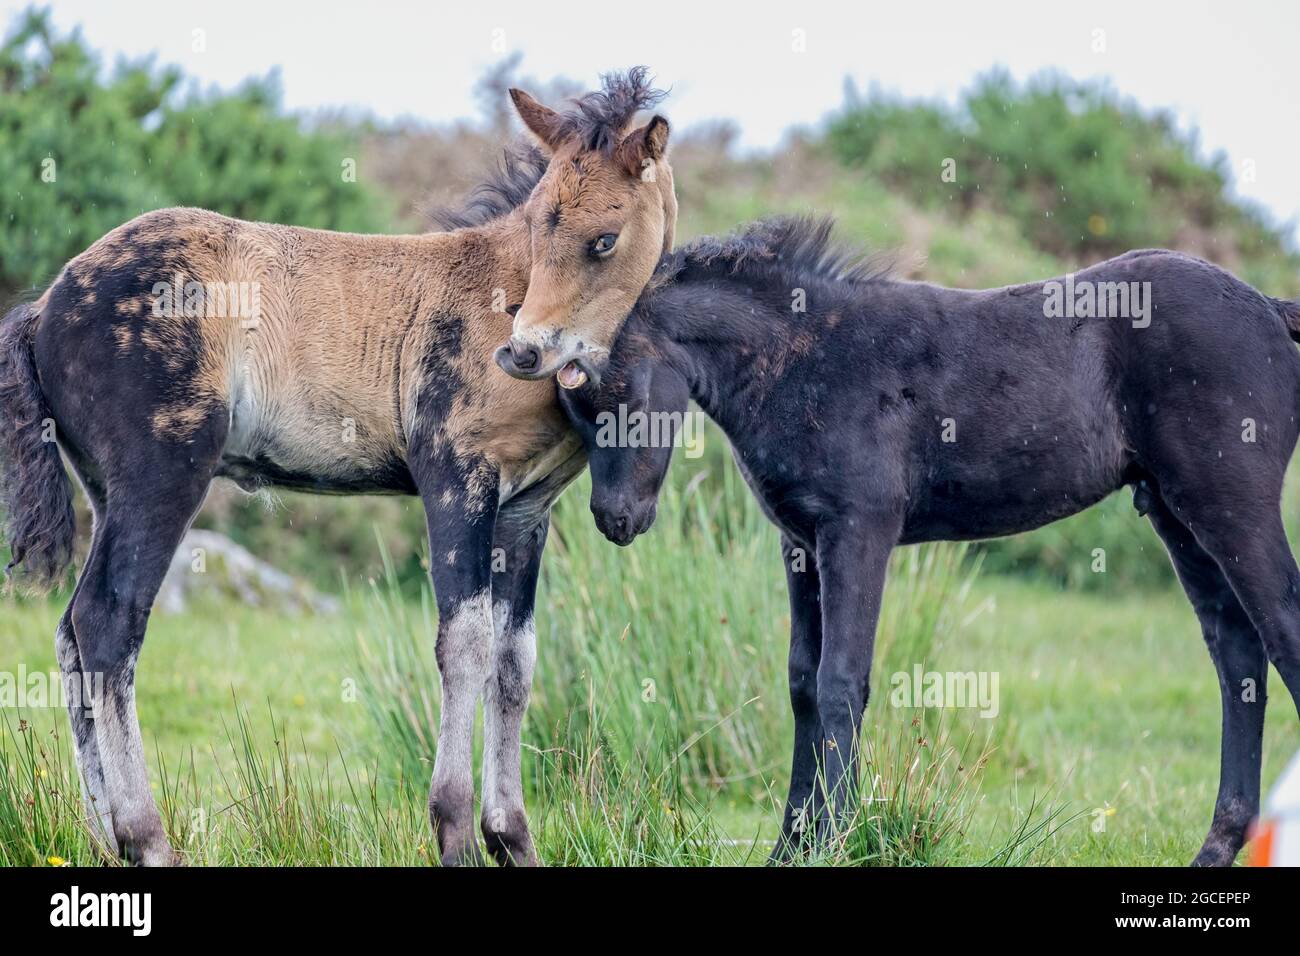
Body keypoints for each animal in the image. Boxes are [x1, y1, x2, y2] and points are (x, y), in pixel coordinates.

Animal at [0, 68, 676, 867]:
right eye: (541, 224)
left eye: (604, 239)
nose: (522, 351)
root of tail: (45, 306)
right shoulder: (457, 484)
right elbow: (465, 646)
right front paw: (454, 833)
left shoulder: (525, 511)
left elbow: (515, 662)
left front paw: (512, 837)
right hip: (160, 477)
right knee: (107, 622)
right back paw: (147, 838)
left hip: (107, 493)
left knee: (73, 635)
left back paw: (106, 840)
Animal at [558, 216, 1300, 866]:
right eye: (572, 409)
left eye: (620, 392)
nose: (615, 519)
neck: (806, 359)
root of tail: (1269, 307)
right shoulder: (799, 543)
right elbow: (802, 684)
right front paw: (790, 847)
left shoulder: (859, 530)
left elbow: (841, 681)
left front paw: (835, 842)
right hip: (1176, 517)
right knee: (1237, 656)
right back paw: (1215, 846)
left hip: (1231, 505)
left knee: (1281, 631)